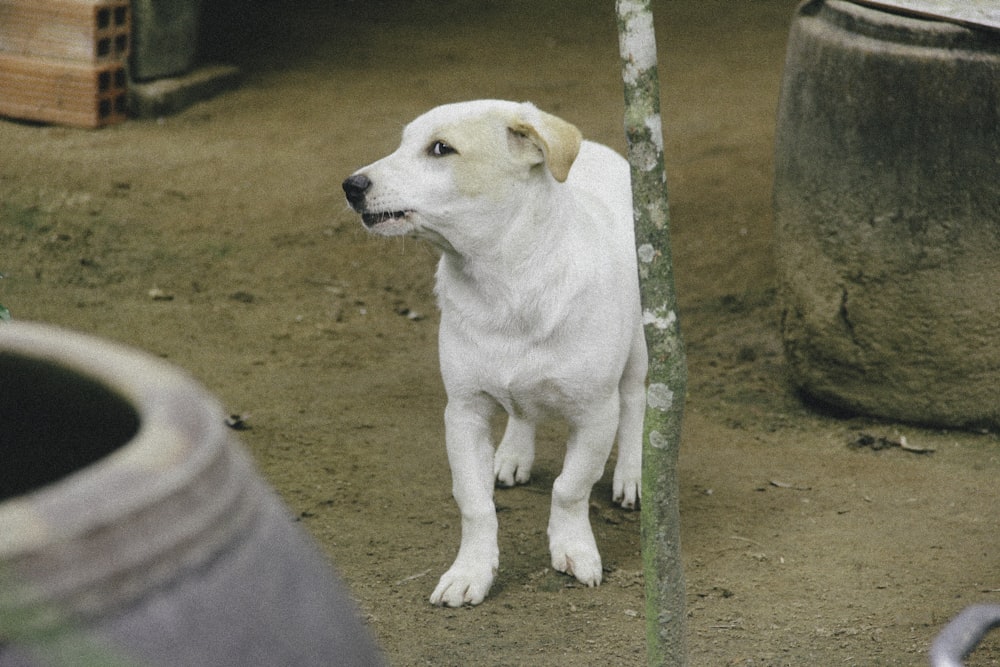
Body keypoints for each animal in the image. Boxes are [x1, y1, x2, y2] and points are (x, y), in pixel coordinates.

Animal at [342, 100, 648, 612]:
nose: (350, 186)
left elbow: (570, 488)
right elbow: (474, 503)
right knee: (522, 413)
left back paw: (631, 474)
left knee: (637, 402)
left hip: (641, 347)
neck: (505, 284)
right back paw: (513, 455)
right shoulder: (464, 412)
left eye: (441, 149)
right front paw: (471, 572)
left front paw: (573, 549)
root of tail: (597, 149)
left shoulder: (594, 414)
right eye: (403, 142)